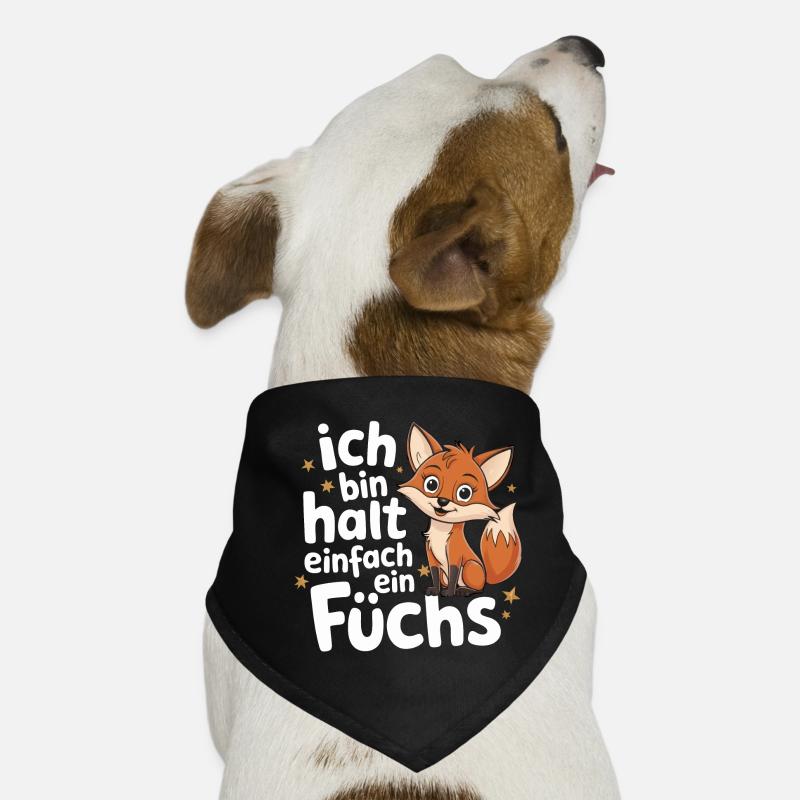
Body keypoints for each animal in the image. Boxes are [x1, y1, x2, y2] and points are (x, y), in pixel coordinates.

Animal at [397, 423, 521, 596]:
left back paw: (464, 590)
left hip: (470, 566)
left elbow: (454, 574)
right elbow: (434, 575)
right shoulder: (431, 557)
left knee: (477, 588)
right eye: (431, 484)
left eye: (464, 493)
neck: (441, 532)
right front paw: (436, 590)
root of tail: (486, 577)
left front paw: (449, 593)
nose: (442, 501)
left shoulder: (455, 555)